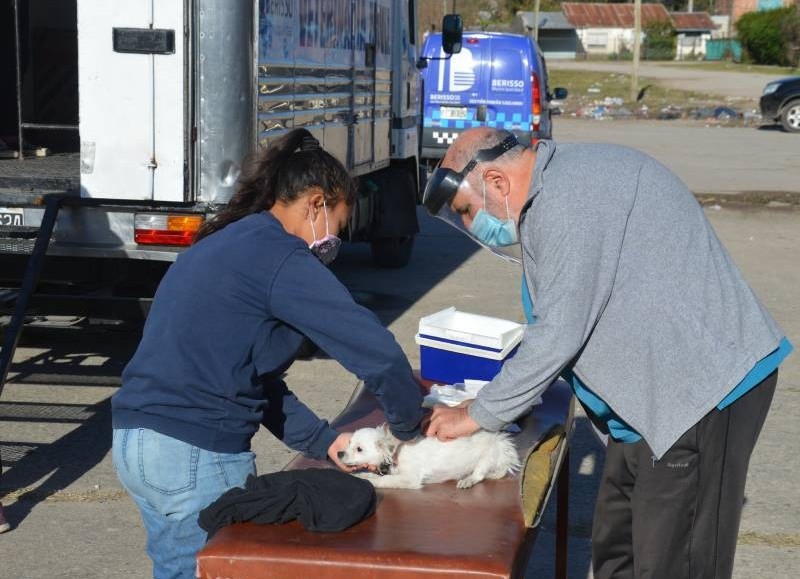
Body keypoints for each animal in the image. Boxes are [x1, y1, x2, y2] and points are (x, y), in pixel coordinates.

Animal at [336, 426, 520, 490]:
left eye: (359, 449)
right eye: (349, 442)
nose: (338, 453)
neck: (397, 451)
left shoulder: (410, 479)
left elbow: (385, 480)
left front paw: (371, 481)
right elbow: (372, 474)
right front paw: (362, 475)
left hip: (488, 455)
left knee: (479, 475)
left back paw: (467, 480)